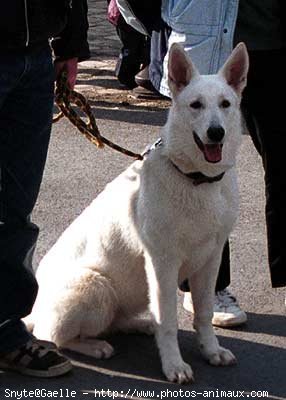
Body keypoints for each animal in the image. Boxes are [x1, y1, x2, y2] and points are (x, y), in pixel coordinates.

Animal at [27, 42, 248, 382]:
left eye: (225, 104)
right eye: (195, 105)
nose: (216, 133)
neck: (196, 179)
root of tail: (34, 312)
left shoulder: (210, 259)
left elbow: (204, 313)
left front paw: (210, 350)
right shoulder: (163, 263)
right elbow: (168, 322)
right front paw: (174, 365)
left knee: (118, 321)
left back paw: (138, 325)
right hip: (96, 286)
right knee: (52, 334)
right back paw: (94, 346)